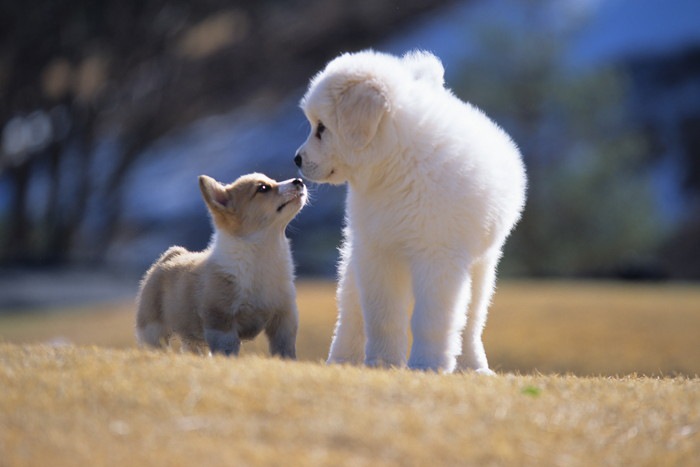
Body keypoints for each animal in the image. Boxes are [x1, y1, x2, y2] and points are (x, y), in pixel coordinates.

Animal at [137, 173, 306, 358]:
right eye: (263, 188)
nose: (299, 181)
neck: (260, 254)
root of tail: (169, 256)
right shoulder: (221, 321)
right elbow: (227, 350)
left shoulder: (284, 319)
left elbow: (285, 350)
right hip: (153, 330)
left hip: (193, 340)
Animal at [294, 50, 524, 372]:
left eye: (322, 127)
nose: (297, 159)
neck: (397, 164)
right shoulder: (378, 253)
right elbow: (382, 315)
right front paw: (382, 362)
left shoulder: (437, 257)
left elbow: (431, 320)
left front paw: (427, 365)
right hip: (355, 261)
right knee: (350, 315)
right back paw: (342, 360)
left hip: (482, 266)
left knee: (472, 321)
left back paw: (474, 366)